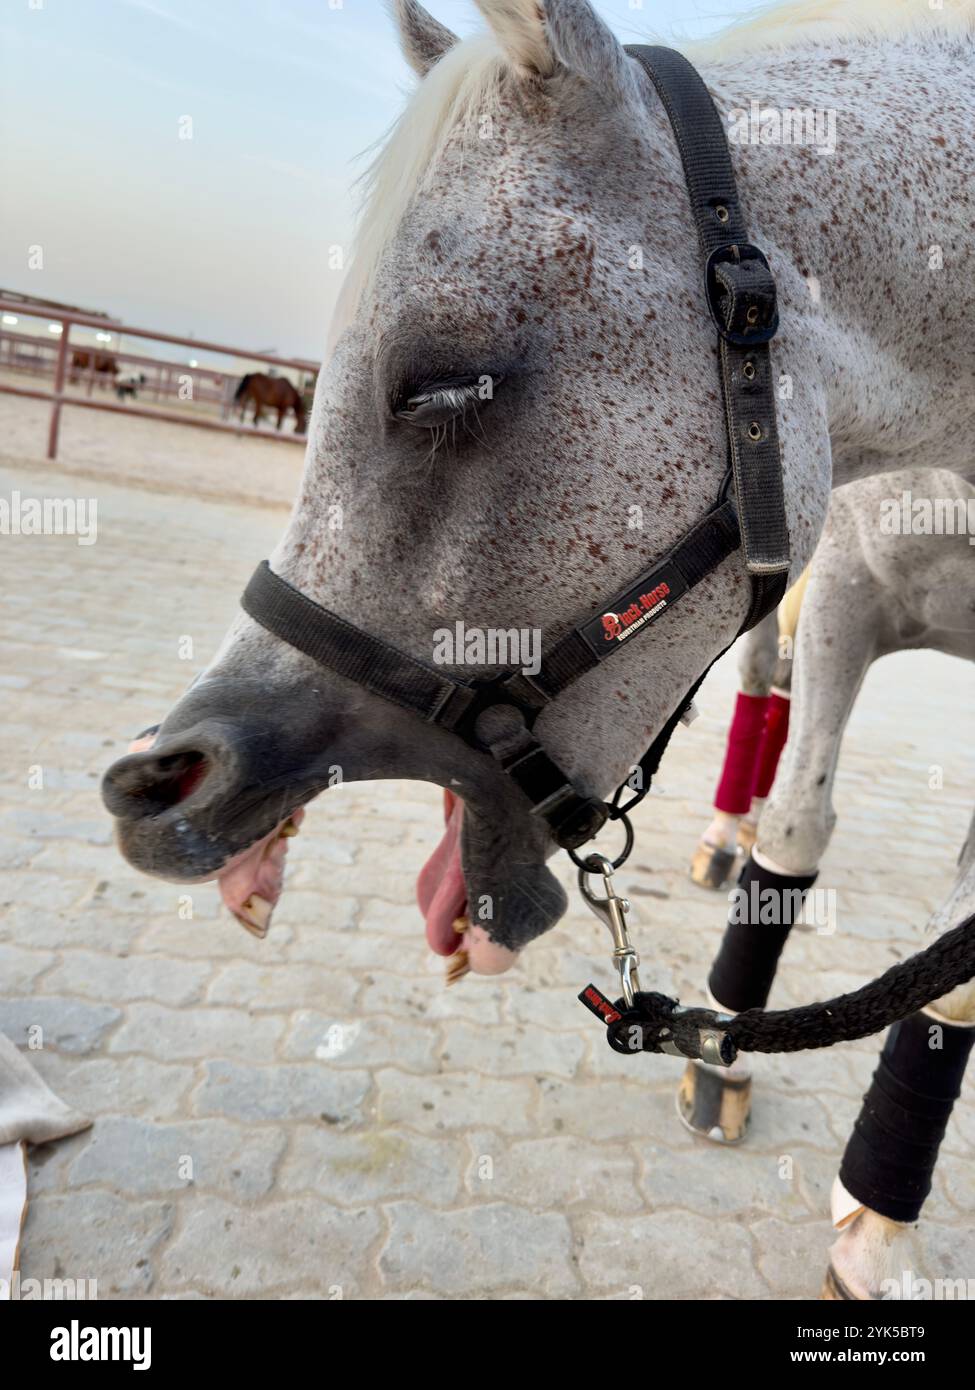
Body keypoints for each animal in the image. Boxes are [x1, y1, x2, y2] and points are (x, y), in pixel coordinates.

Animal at [101, 0, 975, 1297]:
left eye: (447, 385)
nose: (156, 781)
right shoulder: (849, 596)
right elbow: (797, 828)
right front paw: (725, 1050)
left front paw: (880, 1219)